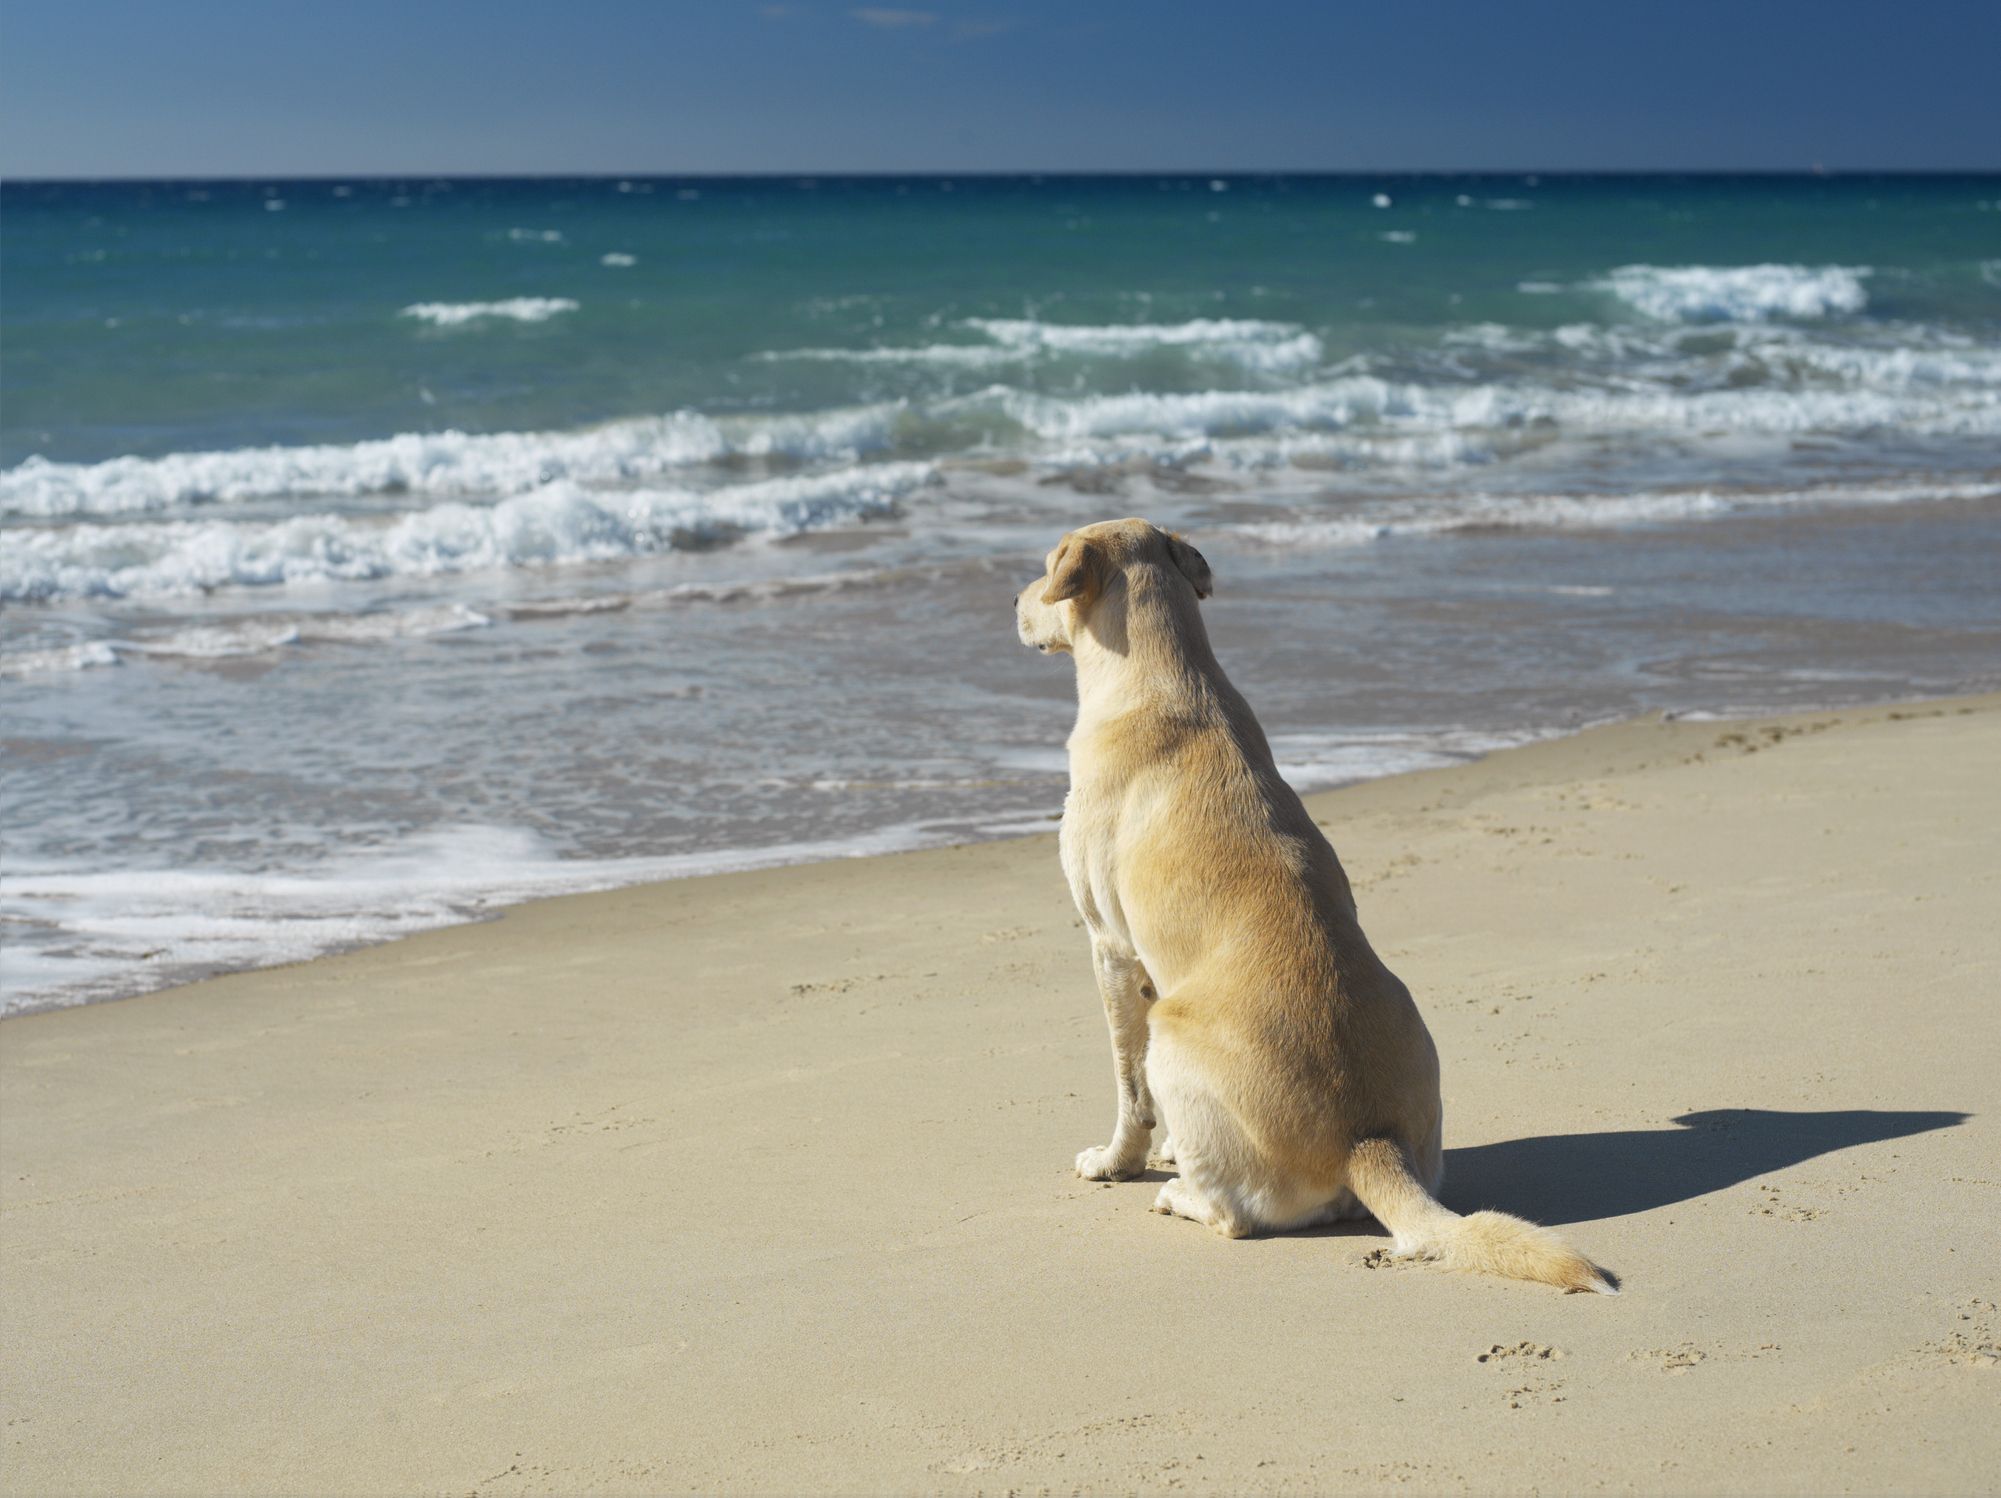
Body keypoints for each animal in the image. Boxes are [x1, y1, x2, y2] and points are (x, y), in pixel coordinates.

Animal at [1016, 520, 1608, 1288]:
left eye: (1044, 569)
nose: (1013, 602)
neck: (1165, 673)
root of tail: (1365, 1142)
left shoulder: (1110, 948)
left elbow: (1128, 1086)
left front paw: (1118, 1162)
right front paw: (1168, 1148)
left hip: (1171, 1033)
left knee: (1235, 1216)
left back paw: (1181, 1197)